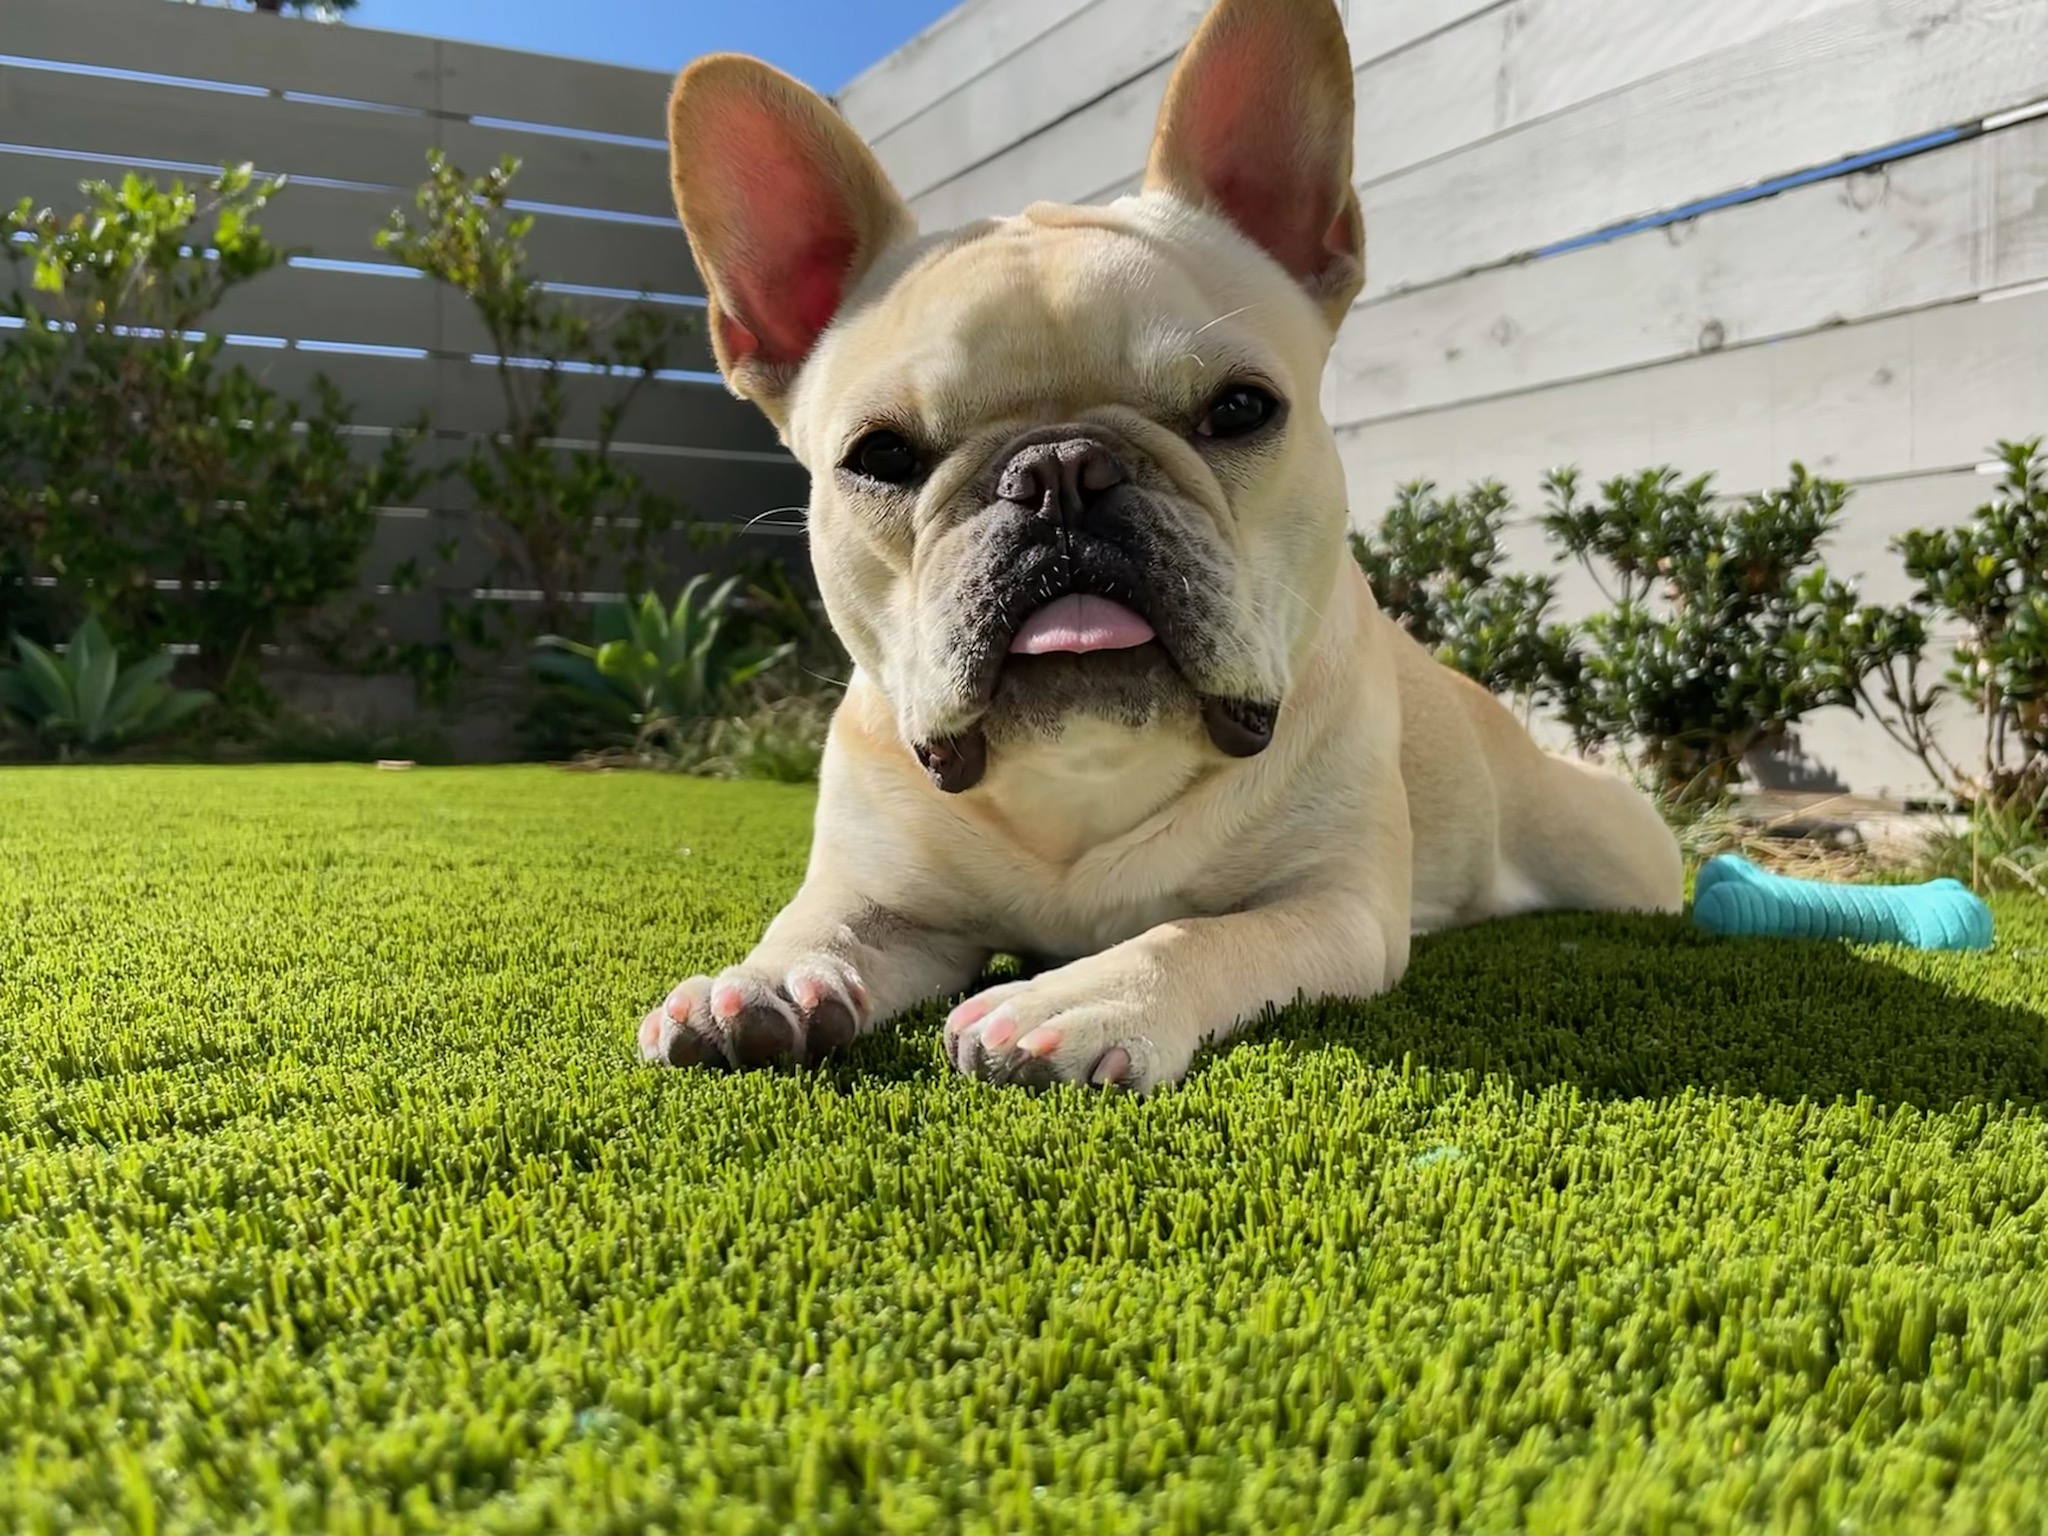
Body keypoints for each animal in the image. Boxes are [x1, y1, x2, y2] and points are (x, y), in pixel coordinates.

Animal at [638, 0, 1679, 1097]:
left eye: (1240, 408)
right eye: (878, 454)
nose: (1058, 470)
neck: (1087, 770)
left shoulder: (1333, 907)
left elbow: (1201, 933)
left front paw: (1078, 999)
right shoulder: (885, 902)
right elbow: (815, 927)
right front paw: (758, 984)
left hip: (1605, 848)